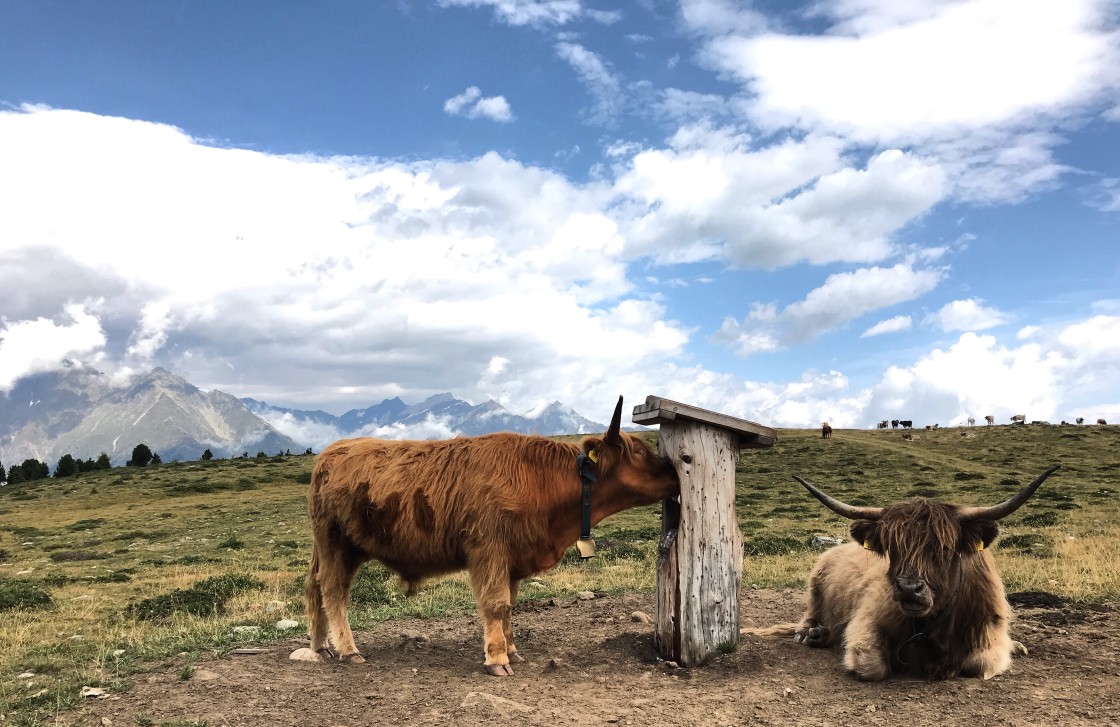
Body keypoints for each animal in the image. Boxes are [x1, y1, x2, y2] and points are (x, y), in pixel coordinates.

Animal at [302, 396, 676, 676]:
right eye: (639, 451)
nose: (673, 470)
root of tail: (330, 453)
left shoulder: (513, 559)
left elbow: (510, 605)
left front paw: (513, 650)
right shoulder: (489, 549)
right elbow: (496, 604)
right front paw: (497, 659)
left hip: (337, 548)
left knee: (315, 587)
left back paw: (320, 645)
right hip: (336, 544)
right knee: (333, 591)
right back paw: (348, 650)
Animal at [743, 465, 1057, 681]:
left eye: (944, 548)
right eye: (893, 548)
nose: (908, 589)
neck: (932, 627)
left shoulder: (988, 640)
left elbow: (981, 664)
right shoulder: (866, 625)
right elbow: (871, 665)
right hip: (815, 588)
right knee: (807, 618)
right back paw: (814, 634)